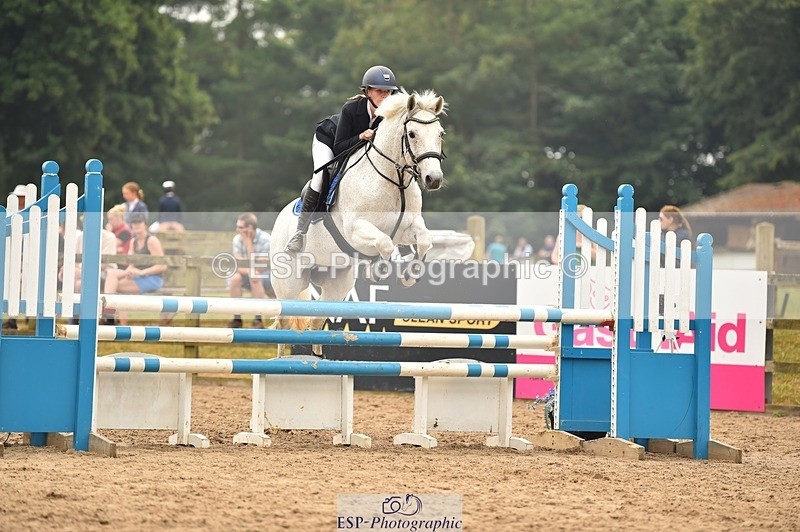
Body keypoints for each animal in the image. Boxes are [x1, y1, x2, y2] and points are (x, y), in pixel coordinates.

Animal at [270, 90, 447, 353]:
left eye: (440, 133)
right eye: (412, 134)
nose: (433, 179)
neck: (393, 179)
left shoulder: (406, 227)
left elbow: (424, 239)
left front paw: (410, 274)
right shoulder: (356, 229)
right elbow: (384, 243)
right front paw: (379, 269)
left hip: (336, 283)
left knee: (316, 319)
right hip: (289, 282)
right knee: (283, 320)